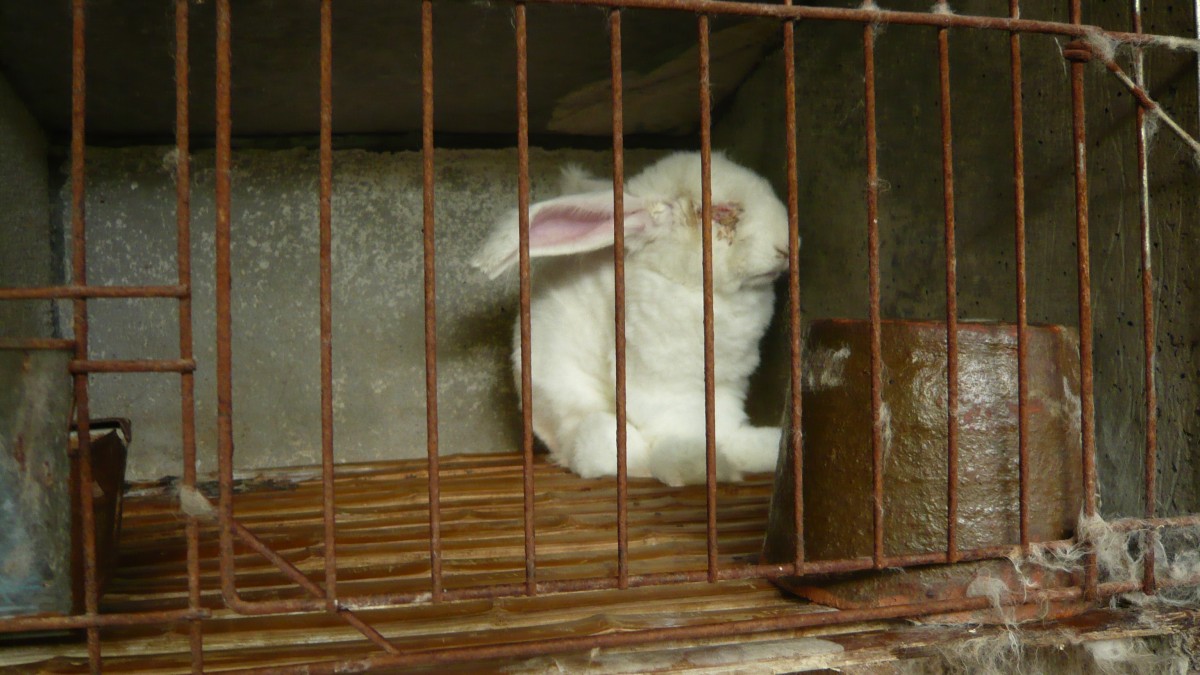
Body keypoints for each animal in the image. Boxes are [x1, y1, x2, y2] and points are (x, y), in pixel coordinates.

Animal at [472, 151, 792, 482]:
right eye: (722, 212)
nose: (786, 247)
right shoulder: (661, 388)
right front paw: (699, 463)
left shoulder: (727, 387)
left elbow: (725, 429)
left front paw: (758, 451)